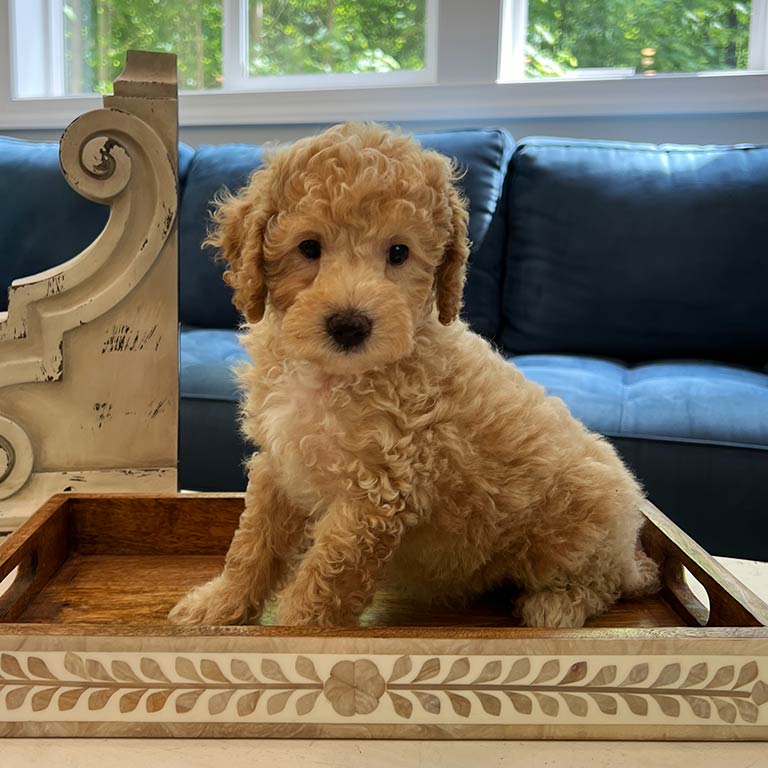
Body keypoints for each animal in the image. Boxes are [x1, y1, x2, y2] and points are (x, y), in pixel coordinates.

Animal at [170, 123, 660, 628]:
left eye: (399, 252)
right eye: (308, 247)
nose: (350, 325)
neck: (336, 376)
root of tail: (631, 540)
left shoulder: (375, 496)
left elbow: (323, 580)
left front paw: (296, 628)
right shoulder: (279, 463)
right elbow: (252, 543)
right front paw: (220, 604)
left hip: (576, 528)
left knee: (602, 582)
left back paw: (558, 605)